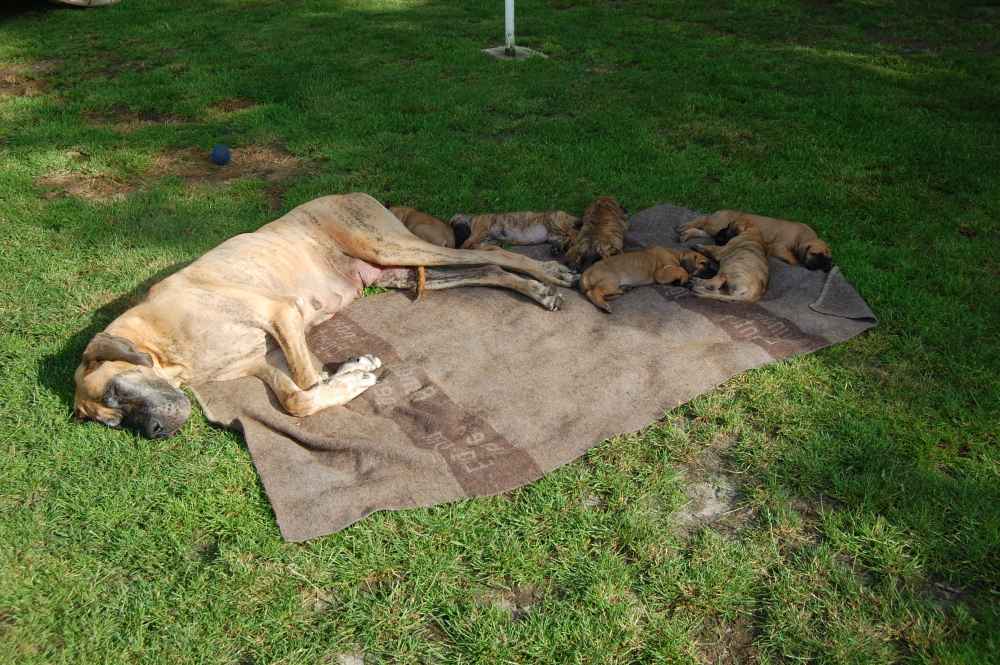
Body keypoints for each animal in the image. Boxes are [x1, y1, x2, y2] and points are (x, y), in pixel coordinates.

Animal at [450, 210, 580, 253]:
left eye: (455, 227)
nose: (455, 240)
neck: (471, 220)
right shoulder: (485, 240)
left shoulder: (477, 233)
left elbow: (466, 244)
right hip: (553, 235)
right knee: (566, 239)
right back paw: (557, 249)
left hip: (556, 222)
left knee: (574, 233)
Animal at [580, 246, 719, 313]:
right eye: (703, 263)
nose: (716, 272)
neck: (676, 255)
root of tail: (586, 273)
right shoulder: (661, 273)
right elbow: (681, 269)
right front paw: (685, 279)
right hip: (611, 280)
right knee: (594, 292)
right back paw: (604, 305)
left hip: (611, 284)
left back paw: (624, 289)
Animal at [678, 209, 832, 271]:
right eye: (815, 254)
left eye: (828, 257)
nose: (827, 266)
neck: (802, 236)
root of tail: (719, 211)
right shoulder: (779, 247)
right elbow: (793, 259)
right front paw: (797, 263)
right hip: (716, 226)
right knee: (702, 220)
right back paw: (685, 227)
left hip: (713, 231)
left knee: (700, 230)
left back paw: (685, 233)